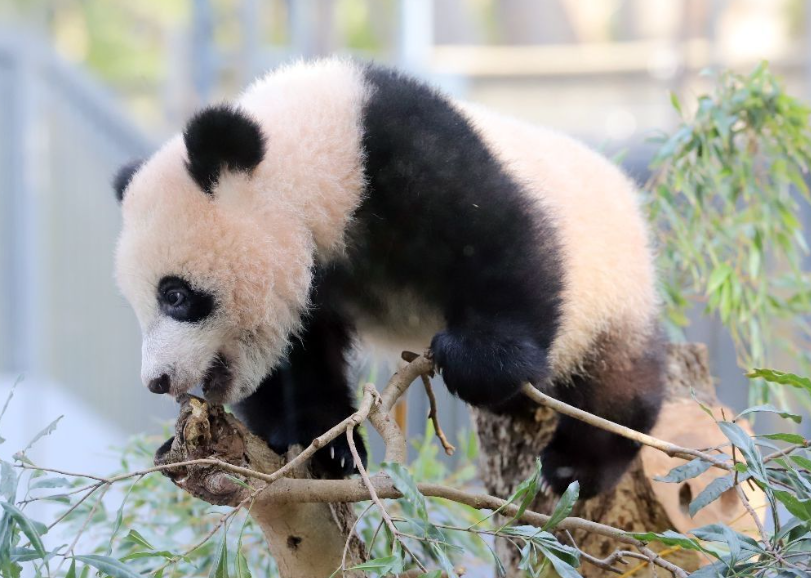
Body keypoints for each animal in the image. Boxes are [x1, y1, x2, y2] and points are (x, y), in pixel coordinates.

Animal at [114, 59, 668, 500]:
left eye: (175, 295)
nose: (157, 381)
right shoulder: (316, 277)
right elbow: (298, 359)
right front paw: (325, 442)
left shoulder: (406, 152)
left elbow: (502, 244)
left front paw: (478, 362)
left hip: (611, 283)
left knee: (615, 373)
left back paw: (579, 462)